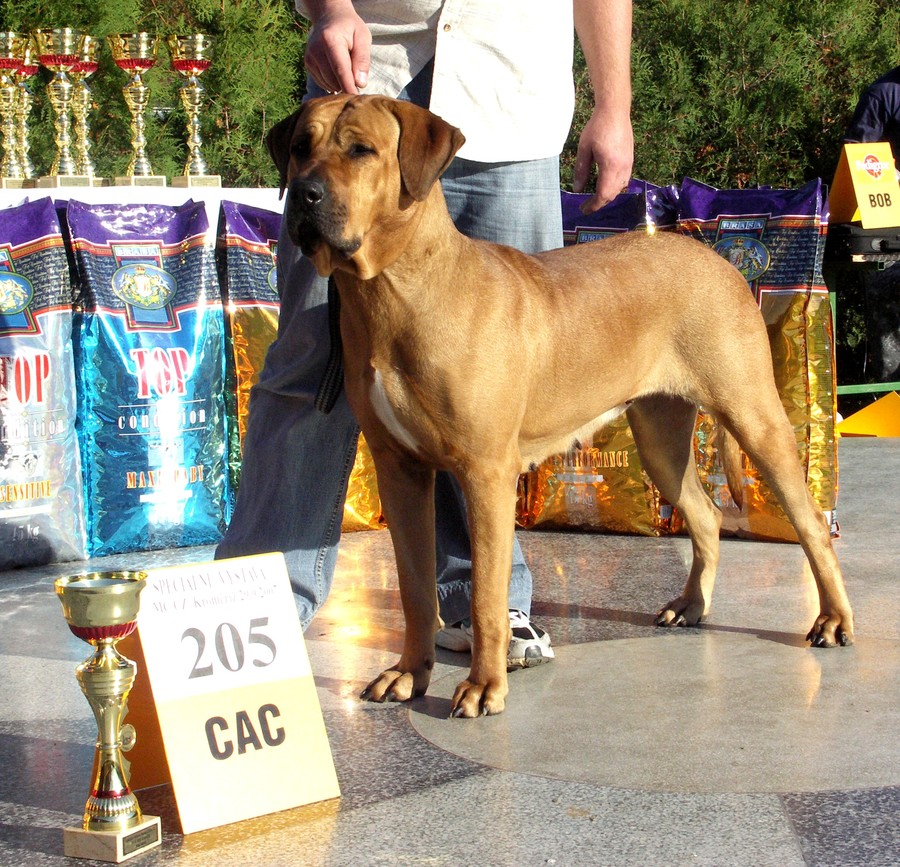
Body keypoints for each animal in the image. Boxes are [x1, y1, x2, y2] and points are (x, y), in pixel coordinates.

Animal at [267, 94, 854, 718]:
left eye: (361, 150)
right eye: (301, 146)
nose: (304, 192)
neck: (394, 289)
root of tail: (720, 262)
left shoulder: (486, 472)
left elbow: (486, 597)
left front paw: (483, 686)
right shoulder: (400, 469)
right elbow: (415, 587)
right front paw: (409, 674)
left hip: (754, 416)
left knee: (810, 524)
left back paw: (833, 621)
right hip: (660, 436)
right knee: (706, 516)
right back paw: (692, 606)